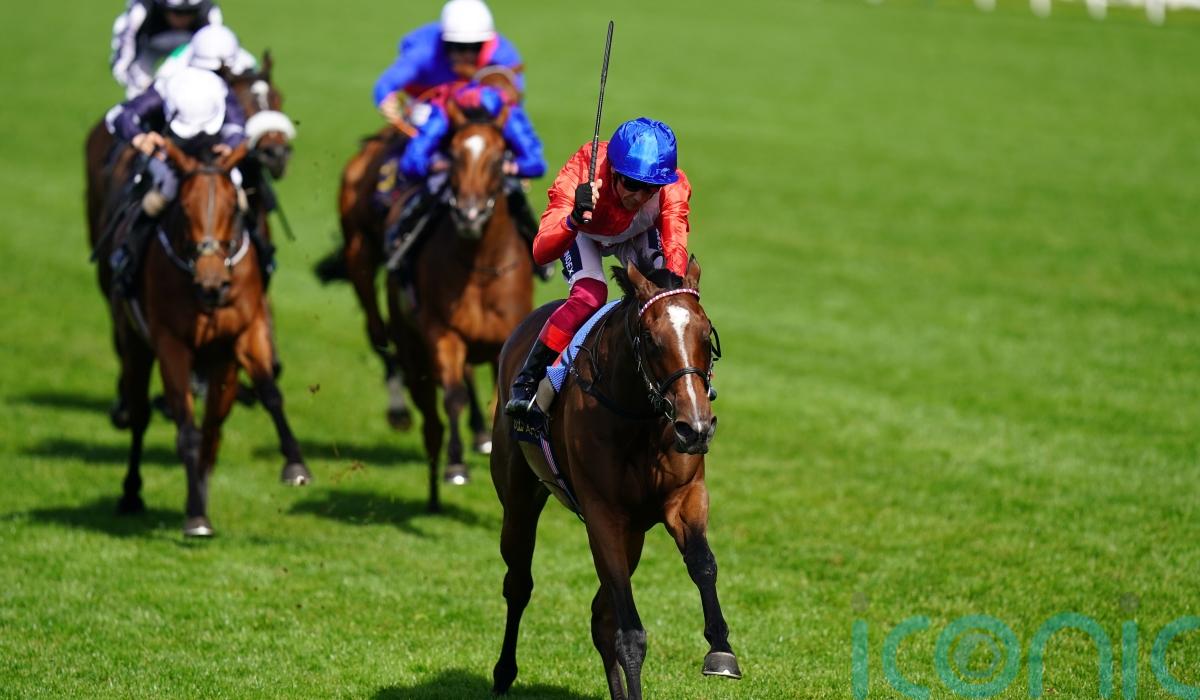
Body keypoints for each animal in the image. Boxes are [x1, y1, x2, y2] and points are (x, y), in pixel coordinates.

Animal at [110, 139, 312, 537]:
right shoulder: (171, 343)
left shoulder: (246, 330)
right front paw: (196, 517)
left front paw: (295, 465)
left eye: (233, 206)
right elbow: (187, 431)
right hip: (136, 345)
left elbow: (270, 392)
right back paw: (133, 493)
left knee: (214, 428)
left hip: (222, 367)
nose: (213, 283)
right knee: (141, 415)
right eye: (185, 207)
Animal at [384, 94, 534, 511]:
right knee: (430, 419)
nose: (468, 213)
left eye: (500, 158)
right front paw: (456, 465)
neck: (481, 266)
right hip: (411, 349)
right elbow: (454, 398)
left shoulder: (505, 342)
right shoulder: (443, 333)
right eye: (452, 154)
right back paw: (434, 490)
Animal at [489, 259, 741, 699]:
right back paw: (503, 673)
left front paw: (721, 649)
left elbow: (703, 564)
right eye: (651, 340)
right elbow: (630, 633)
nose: (696, 427)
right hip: (519, 500)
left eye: (705, 334)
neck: (640, 417)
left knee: (599, 616)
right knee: (518, 584)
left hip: (634, 534)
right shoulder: (603, 515)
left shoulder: (685, 497)